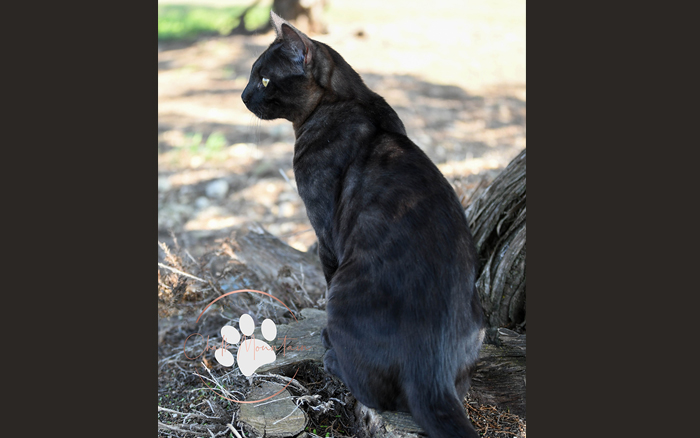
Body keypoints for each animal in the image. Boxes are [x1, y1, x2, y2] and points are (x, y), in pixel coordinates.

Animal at [243, 11, 484, 438]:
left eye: (265, 79)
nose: (241, 94)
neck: (351, 102)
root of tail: (431, 369)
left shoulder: (324, 233)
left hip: (344, 288)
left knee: (370, 388)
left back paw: (331, 355)